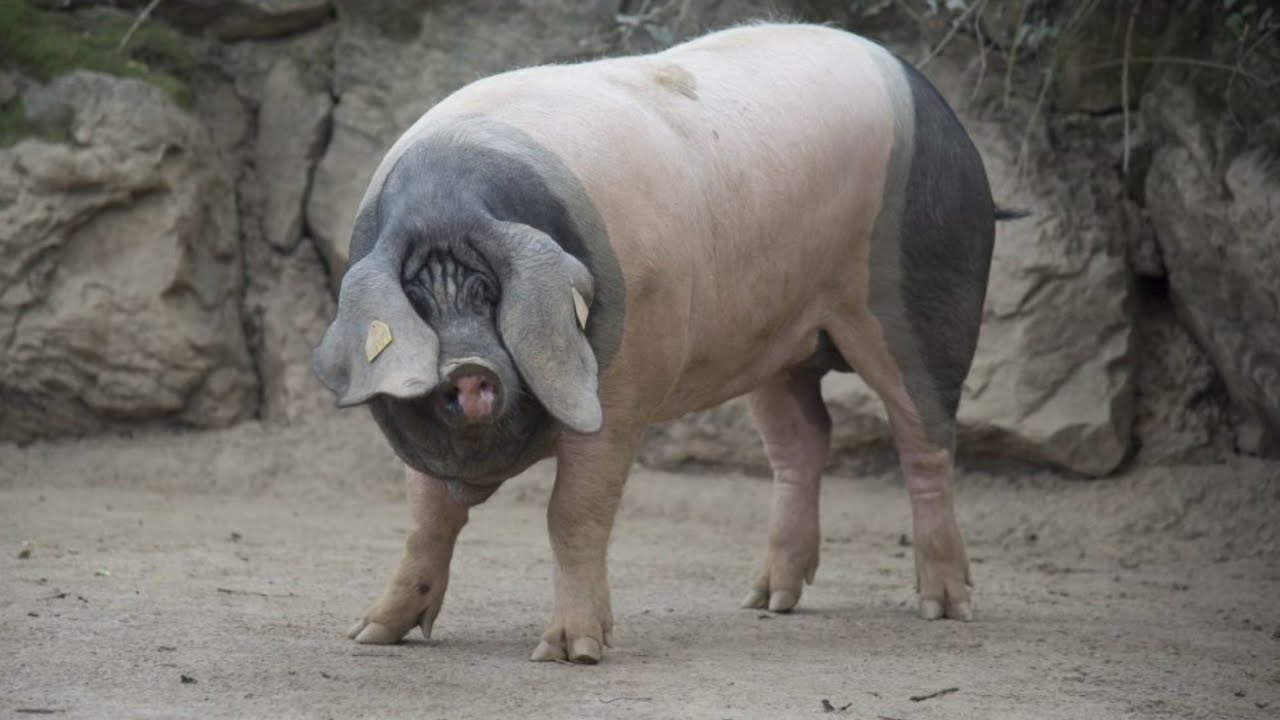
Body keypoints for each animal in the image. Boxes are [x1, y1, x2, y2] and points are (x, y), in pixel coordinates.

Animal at [313, 22, 1006, 664]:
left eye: (489, 292)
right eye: (418, 300)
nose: (466, 368)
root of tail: (937, 103)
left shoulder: (627, 384)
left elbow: (572, 511)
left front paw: (571, 653)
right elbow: (428, 519)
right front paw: (371, 634)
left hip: (926, 295)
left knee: (925, 441)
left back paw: (945, 608)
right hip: (779, 341)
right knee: (803, 442)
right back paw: (766, 601)